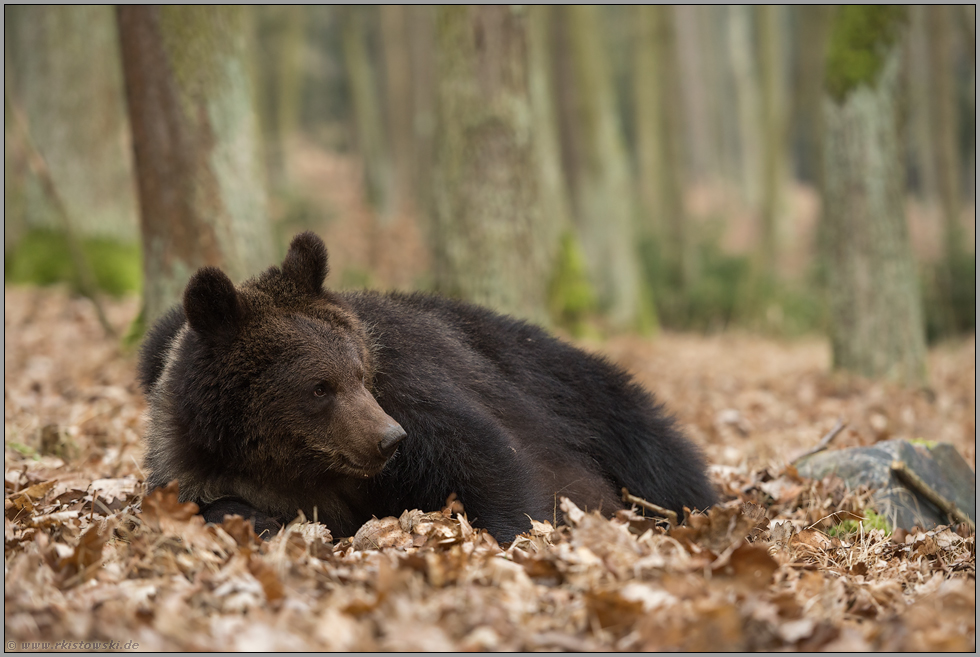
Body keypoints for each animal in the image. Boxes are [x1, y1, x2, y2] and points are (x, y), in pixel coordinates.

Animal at [138, 231, 716, 540]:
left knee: (657, 455)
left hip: (578, 391)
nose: (388, 439)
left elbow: (486, 456)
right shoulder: (204, 469)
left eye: (359, 373)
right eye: (319, 387)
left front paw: (518, 531)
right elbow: (221, 507)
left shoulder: (409, 385)